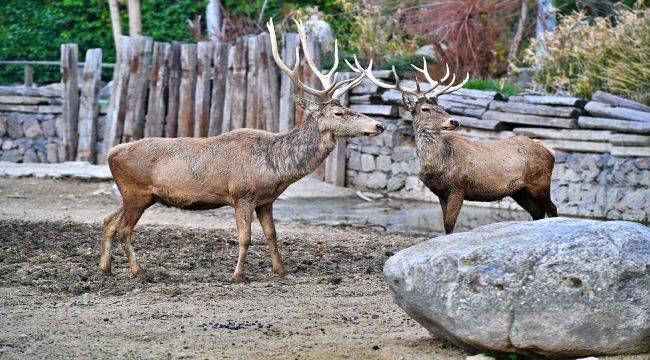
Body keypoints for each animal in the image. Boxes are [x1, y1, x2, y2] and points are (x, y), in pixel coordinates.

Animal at [98, 18, 382, 282]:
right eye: (338, 113)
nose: (378, 125)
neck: (276, 167)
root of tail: (110, 154)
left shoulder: (266, 200)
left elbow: (272, 235)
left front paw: (281, 270)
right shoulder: (243, 194)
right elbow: (245, 237)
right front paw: (238, 275)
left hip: (136, 196)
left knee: (108, 222)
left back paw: (105, 267)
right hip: (136, 193)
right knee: (124, 229)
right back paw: (138, 270)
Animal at [346, 57, 556, 233]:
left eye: (441, 107)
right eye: (425, 108)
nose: (454, 121)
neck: (438, 165)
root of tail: (551, 151)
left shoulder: (458, 186)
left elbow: (450, 223)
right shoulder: (440, 192)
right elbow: (445, 223)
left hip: (540, 182)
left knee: (552, 208)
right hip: (519, 191)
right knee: (538, 213)